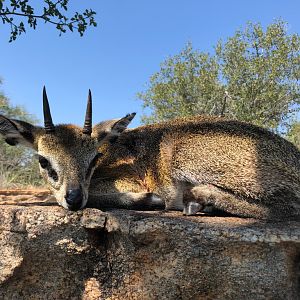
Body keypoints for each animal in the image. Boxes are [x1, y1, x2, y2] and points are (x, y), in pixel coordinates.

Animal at [0, 87, 300, 220]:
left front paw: (151, 200)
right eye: (43, 160)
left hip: (187, 156)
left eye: (93, 158)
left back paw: (199, 199)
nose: (74, 198)